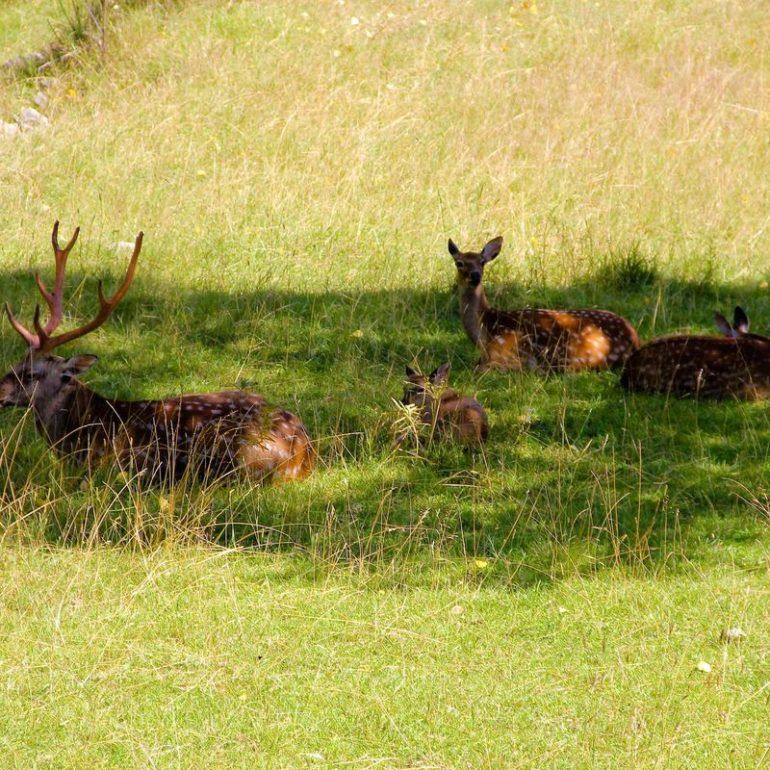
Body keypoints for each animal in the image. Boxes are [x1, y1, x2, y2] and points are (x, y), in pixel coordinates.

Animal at [448, 236, 640, 370]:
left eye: (482, 262)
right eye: (459, 263)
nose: (475, 275)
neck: (485, 332)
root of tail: (635, 340)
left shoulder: (506, 353)